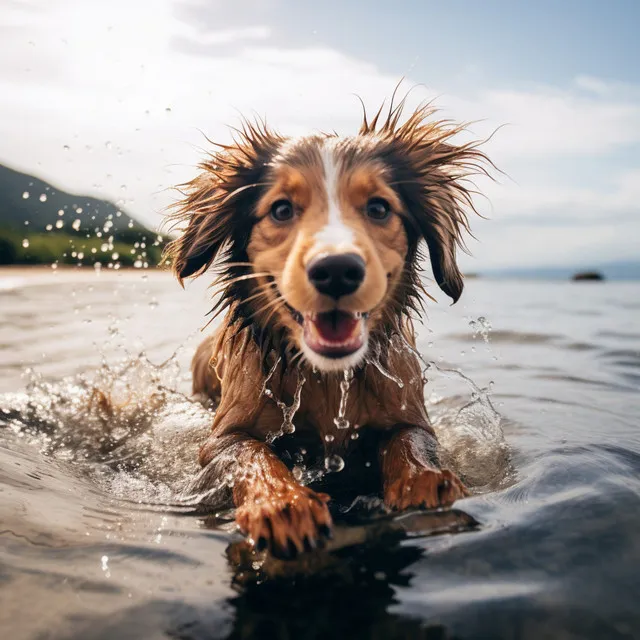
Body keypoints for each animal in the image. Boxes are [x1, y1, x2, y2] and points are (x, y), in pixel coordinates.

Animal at [165, 94, 490, 556]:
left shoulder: (410, 414)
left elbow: (410, 441)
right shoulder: (223, 437)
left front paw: (426, 485)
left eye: (379, 207)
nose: (337, 270)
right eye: (281, 209)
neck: (328, 378)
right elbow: (251, 453)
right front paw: (282, 505)